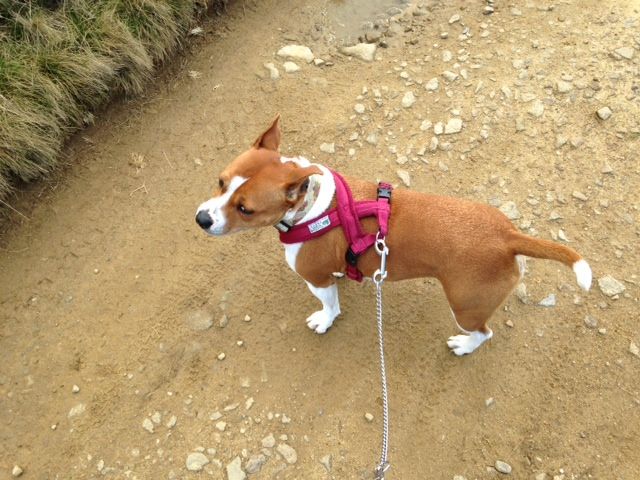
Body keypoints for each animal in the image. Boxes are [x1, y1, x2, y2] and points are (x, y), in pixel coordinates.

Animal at [194, 115, 592, 356]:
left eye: (246, 209)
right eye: (220, 181)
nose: (201, 219)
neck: (312, 205)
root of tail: (507, 236)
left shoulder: (316, 279)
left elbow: (330, 304)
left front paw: (325, 319)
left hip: (466, 306)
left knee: (483, 333)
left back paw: (465, 345)